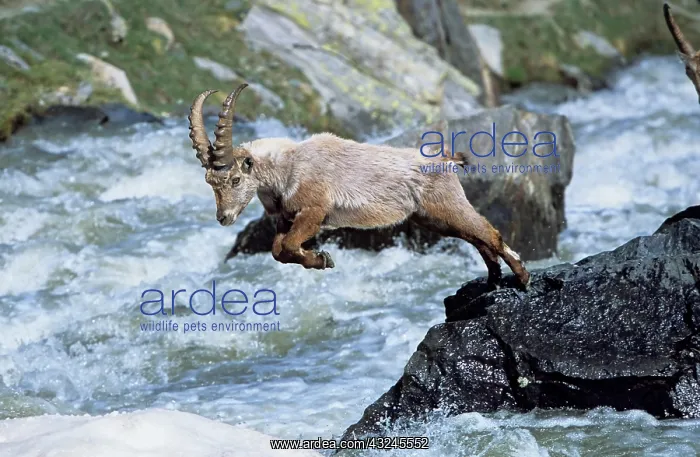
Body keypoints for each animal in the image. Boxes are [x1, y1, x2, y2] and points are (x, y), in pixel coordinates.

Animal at [188, 84, 531, 290]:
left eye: (235, 179)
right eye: (209, 182)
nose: (224, 217)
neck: (288, 166)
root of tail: (446, 160)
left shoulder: (314, 211)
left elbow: (287, 247)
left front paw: (323, 259)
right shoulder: (286, 218)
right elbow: (277, 251)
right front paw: (320, 259)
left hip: (444, 204)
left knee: (488, 232)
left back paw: (522, 276)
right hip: (431, 218)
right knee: (476, 237)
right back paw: (494, 278)